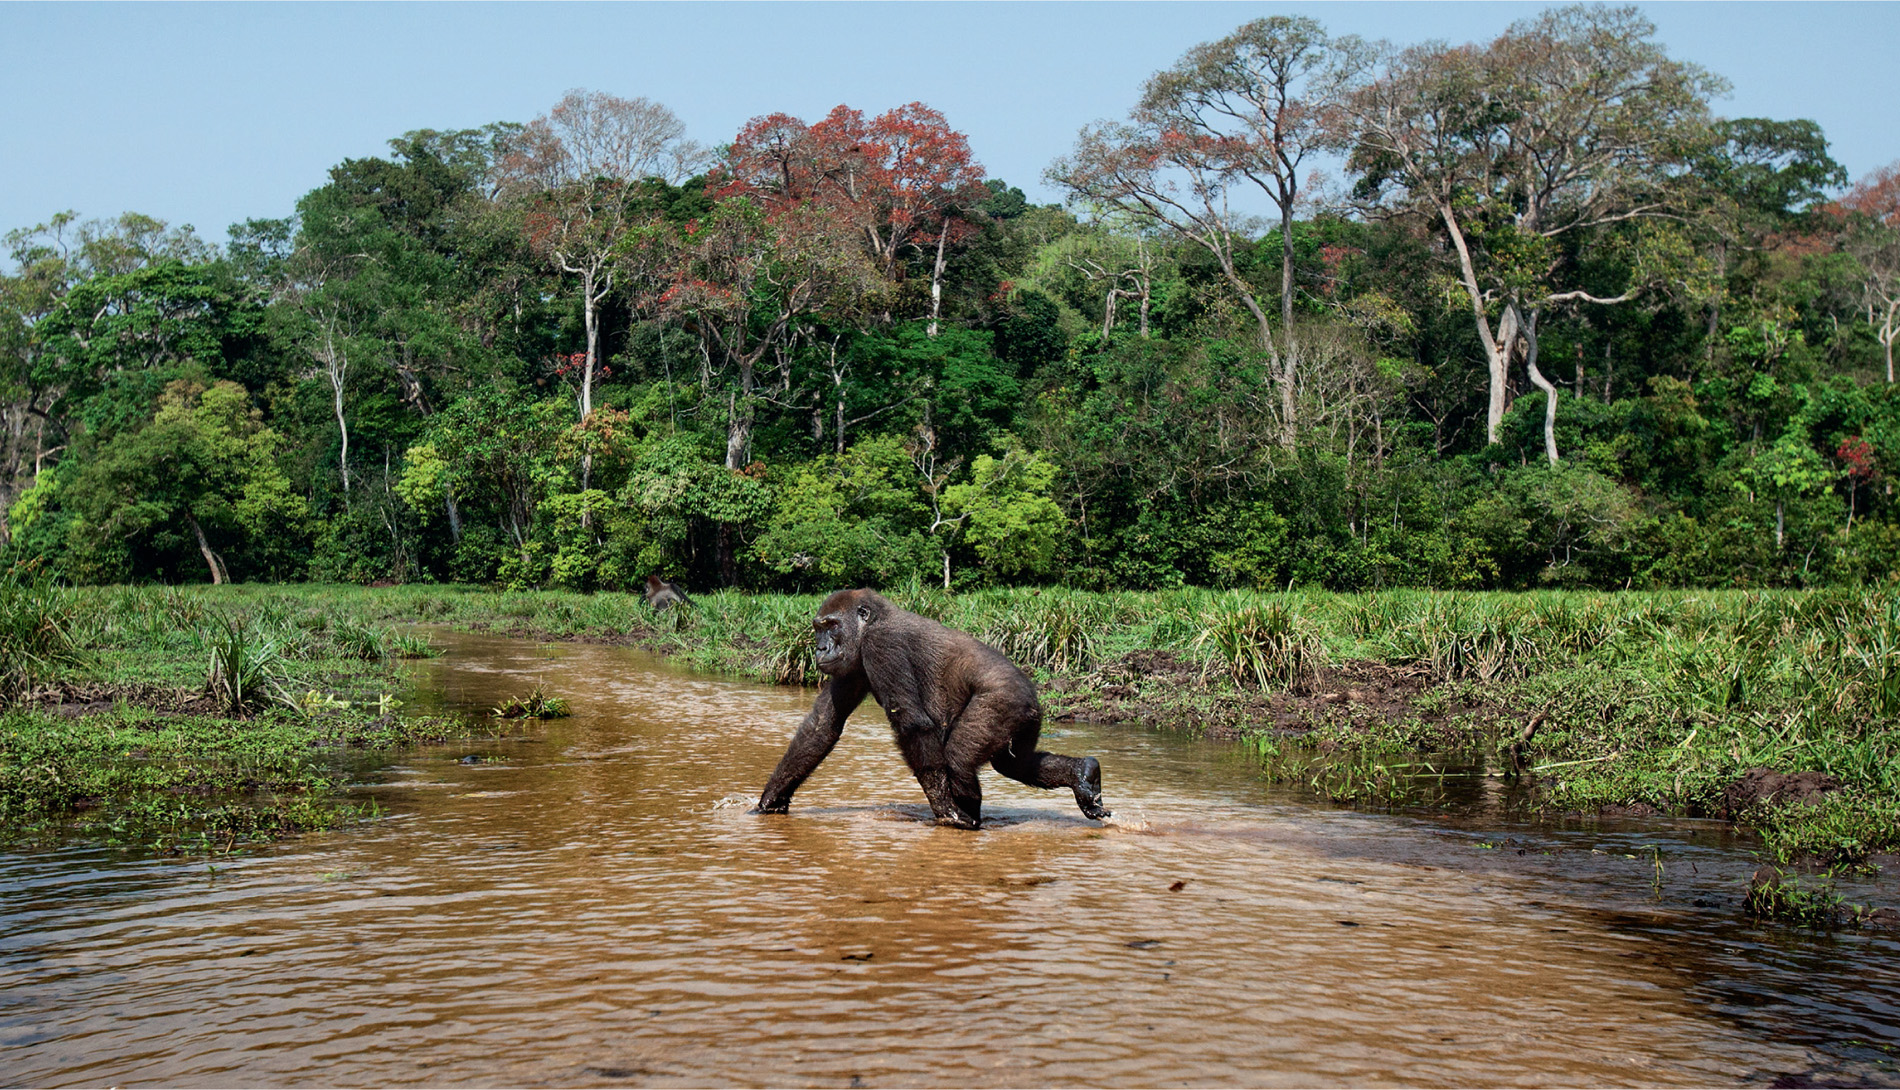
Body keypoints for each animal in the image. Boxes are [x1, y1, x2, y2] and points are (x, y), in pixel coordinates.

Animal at [756, 588, 1109, 827]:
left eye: (831, 626)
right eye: (818, 627)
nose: (820, 648)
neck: (874, 620)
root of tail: (1033, 692)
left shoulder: (881, 645)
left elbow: (913, 724)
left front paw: (945, 809)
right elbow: (822, 726)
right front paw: (770, 801)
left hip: (1007, 700)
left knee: (961, 758)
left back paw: (968, 814)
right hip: (1027, 715)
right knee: (1015, 763)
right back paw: (1083, 776)